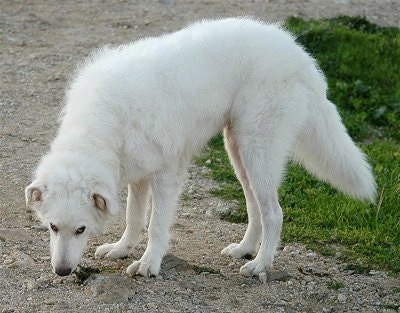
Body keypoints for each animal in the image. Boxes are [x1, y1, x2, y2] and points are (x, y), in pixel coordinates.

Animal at [25, 17, 376, 276]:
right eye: (53, 227)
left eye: (81, 230)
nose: (62, 271)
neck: (104, 120)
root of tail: (298, 53)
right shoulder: (138, 175)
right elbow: (133, 218)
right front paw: (122, 250)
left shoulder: (166, 175)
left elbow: (155, 226)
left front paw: (149, 264)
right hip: (237, 151)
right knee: (255, 208)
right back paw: (244, 250)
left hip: (257, 152)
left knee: (274, 213)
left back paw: (260, 265)